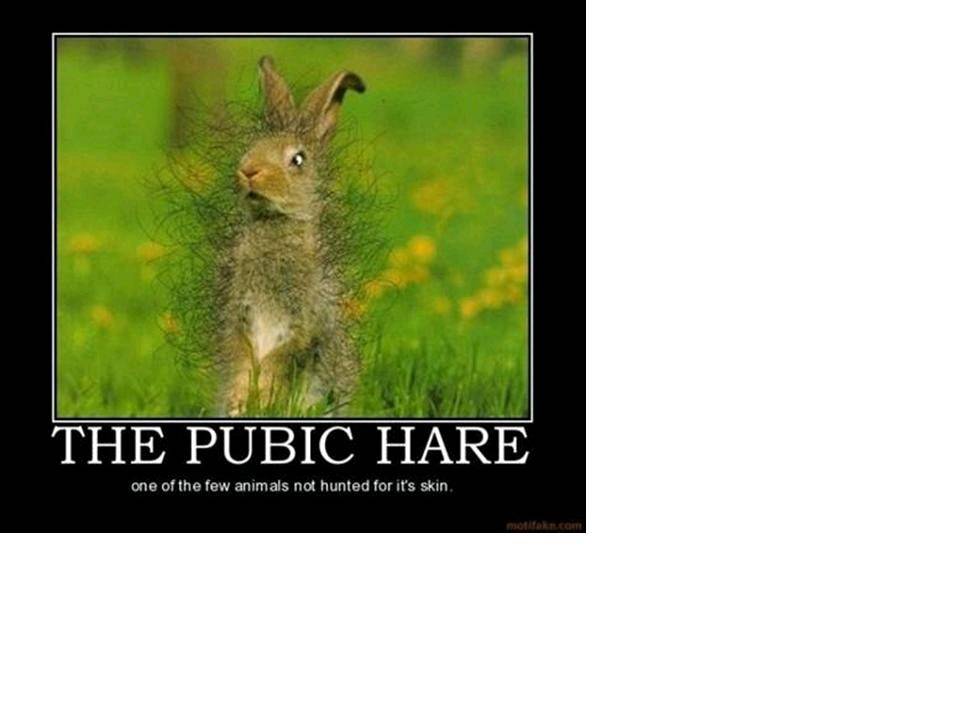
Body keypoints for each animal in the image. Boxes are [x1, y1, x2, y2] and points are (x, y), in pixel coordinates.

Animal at [217, 56, 366, 416]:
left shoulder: (304, 319)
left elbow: (283, 357)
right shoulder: (240, 314)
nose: (249, 171)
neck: (275, 223)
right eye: (251, 147)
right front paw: (240, 399)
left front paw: (264, 396)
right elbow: (242, 353)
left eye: (298, 159)